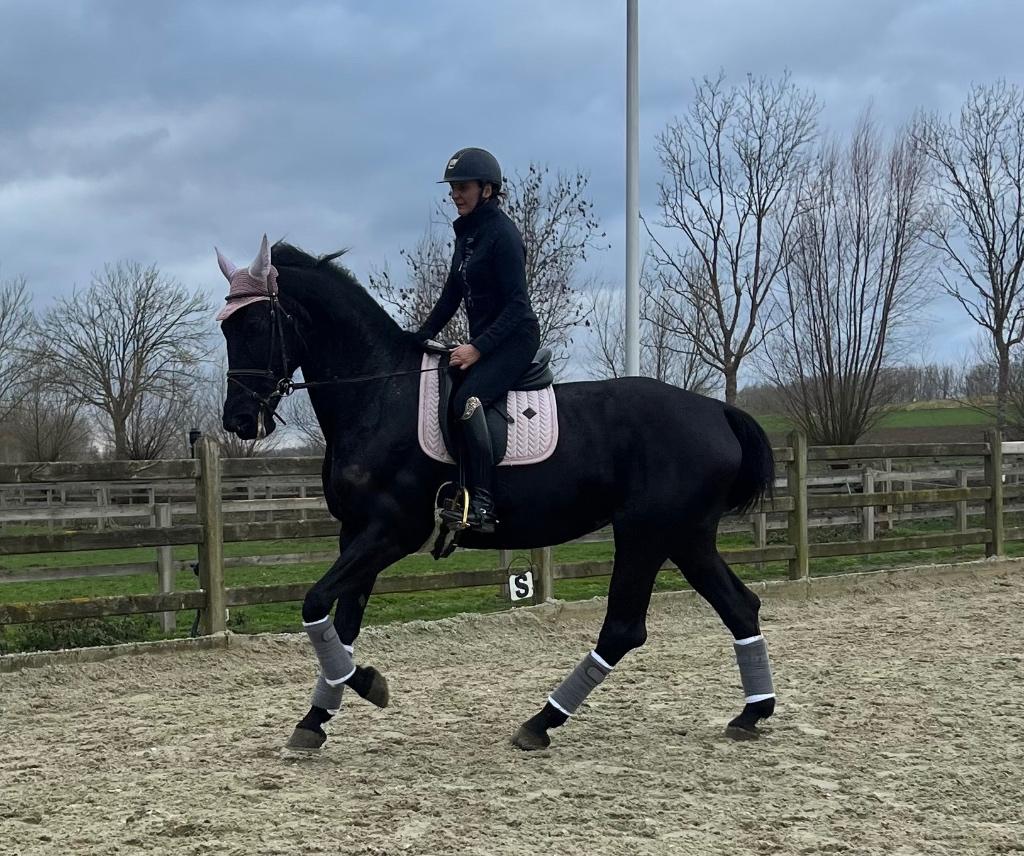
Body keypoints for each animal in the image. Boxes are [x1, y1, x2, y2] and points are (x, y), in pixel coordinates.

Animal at [216, 235, 778, 751]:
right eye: (225, 327)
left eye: (255, 325)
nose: (239, 420)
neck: (380, 393)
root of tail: (715, 411)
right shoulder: (355, 533)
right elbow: (344, 622)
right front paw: (316, 719)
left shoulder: (391, 532)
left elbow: (315, 602)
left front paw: (368, 685)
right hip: (685, 536)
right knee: (739, 606)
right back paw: (752, 713)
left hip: (645, 534)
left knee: (624, 628)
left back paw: (542, 722)